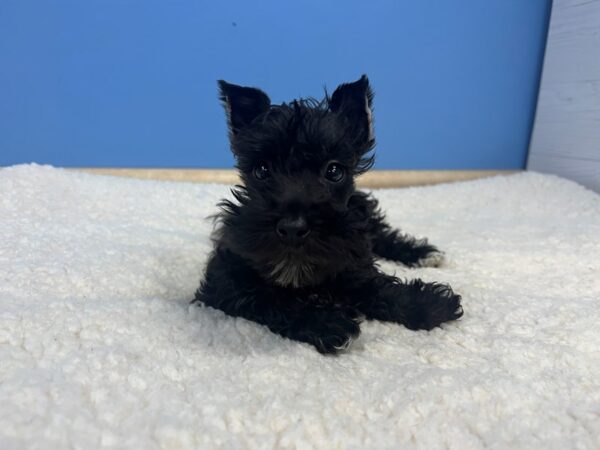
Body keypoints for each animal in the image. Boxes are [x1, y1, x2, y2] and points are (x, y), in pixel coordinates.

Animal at [195, 75, 462, 354]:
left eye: (334, 171)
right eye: (261, 170)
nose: (293, 227)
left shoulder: (352, 255)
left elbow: (374, 285)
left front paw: (426, 303)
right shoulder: (224, 280)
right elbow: (267, 297)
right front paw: (327, 323)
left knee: (381, 235)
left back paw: (424, 254)